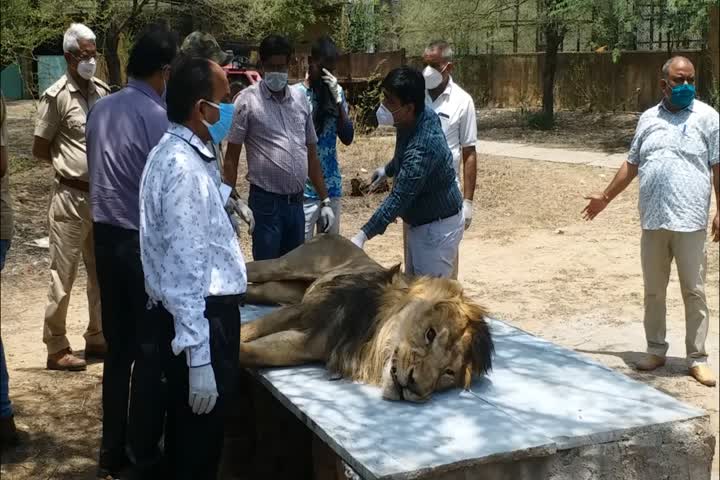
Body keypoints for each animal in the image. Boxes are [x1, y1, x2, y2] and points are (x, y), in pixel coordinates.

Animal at [239, 234, 492, 404]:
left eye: (449, 372)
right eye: (430, 334)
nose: (414, 386)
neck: (372, 333)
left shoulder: (310, 344)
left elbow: (253, 352)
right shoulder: (306, 310)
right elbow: (249, 330)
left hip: (282, 290)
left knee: (253, 289)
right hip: (284, 267)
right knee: (250, 268)